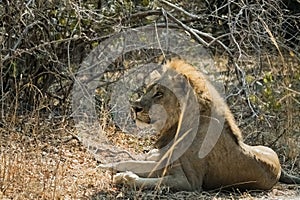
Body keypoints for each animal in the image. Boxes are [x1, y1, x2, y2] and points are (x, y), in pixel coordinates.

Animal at [99, 59, 300, 191]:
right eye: (147, 90)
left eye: (159, 94)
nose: (134, 107)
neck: (178, 124)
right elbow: (130, 162)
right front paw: (106, 166)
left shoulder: (189, 182)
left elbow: (153, 181)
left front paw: (123, 177)